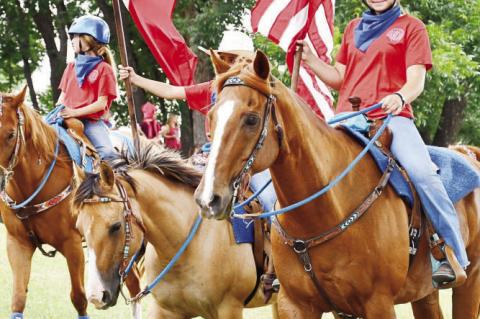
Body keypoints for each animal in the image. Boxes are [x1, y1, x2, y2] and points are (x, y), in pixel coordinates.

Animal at [192, 51, 480, 318]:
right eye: (212, 116)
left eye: (251, 119)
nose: (208, 199)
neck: (323, 211)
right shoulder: (294, 304)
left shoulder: (378, 303)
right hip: (424, 293)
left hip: (470, 281)